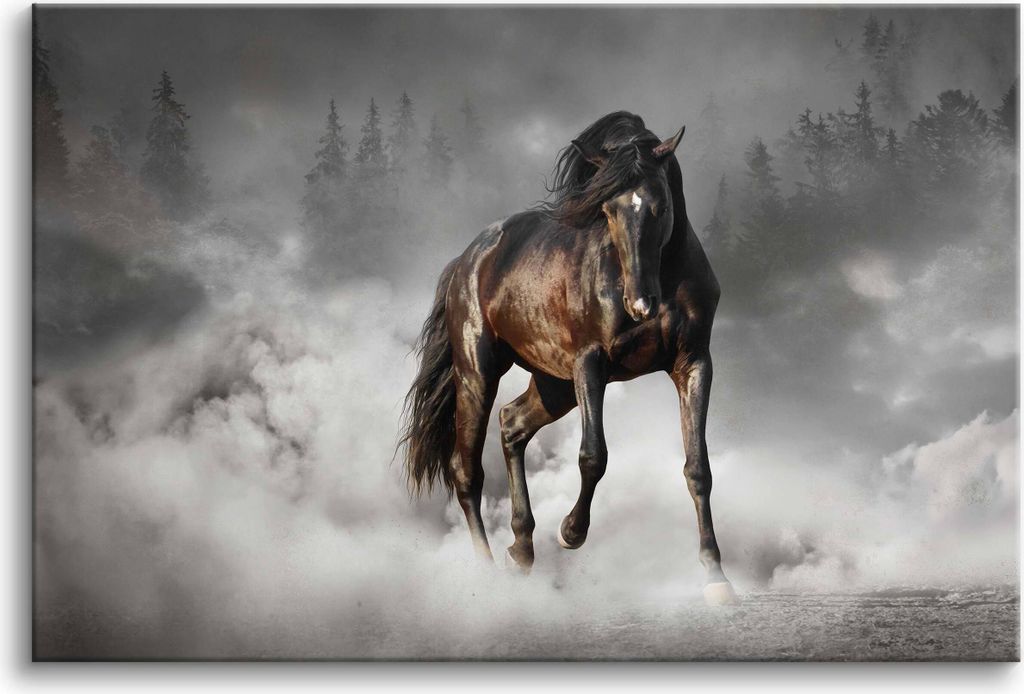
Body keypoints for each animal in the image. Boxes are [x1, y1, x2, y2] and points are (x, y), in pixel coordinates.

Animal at [399, 111, 737, 605]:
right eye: (608, 210)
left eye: (659, 206)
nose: (640, 304)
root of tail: (466, 261)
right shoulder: (590, 363)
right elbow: (593, 456)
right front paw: (570, 532)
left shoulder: (693, 364)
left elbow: (699, 467)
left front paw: (716, 576)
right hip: (478, 373)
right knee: (467, 470)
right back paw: (487, 571)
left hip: (553, 385)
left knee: (512, 426)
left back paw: (521, 549)